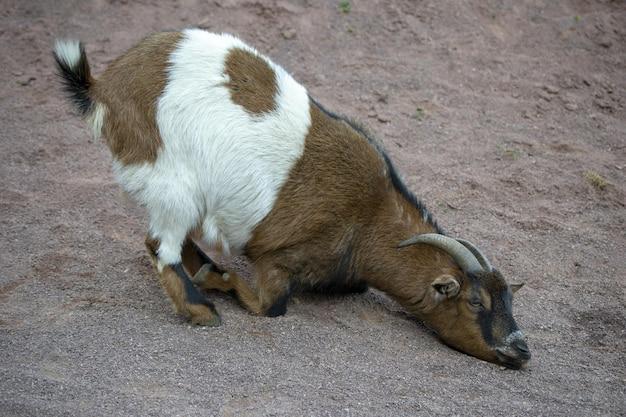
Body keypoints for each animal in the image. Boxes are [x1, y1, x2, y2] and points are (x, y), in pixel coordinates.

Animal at [54, 29, 532, 368]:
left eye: (509, 299)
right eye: (475, 301)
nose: (521, 350)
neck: (368, 217)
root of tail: (103, 87)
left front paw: (213, 269)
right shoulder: (278, 258)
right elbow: (272, 307)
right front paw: (219, 278)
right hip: (173, 184)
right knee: (159, 245)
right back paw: (201, 308)